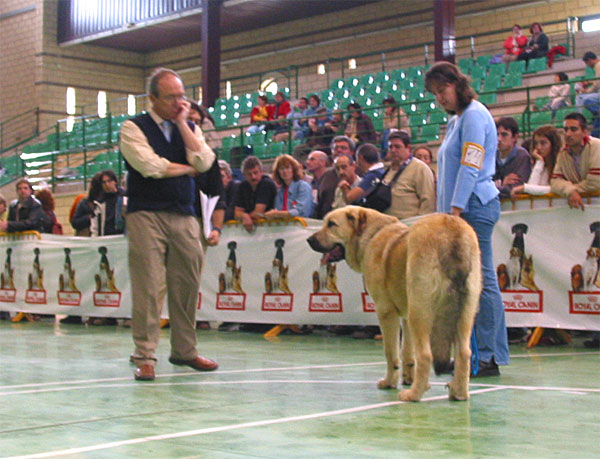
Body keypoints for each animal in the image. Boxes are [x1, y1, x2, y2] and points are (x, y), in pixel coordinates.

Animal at [310, 208, 482, 402]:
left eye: (331, 224)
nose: (309, 240)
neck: (371, 235)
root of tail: (451, 229)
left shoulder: (386, 312)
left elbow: (391, 353)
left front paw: (389, 382)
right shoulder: (406, 316)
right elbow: (407, 353)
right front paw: (409, 379)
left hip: (420, 313)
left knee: (425, 355)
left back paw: (413, 395)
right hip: (464, 315)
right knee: (464, 353)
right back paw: (459, 393)